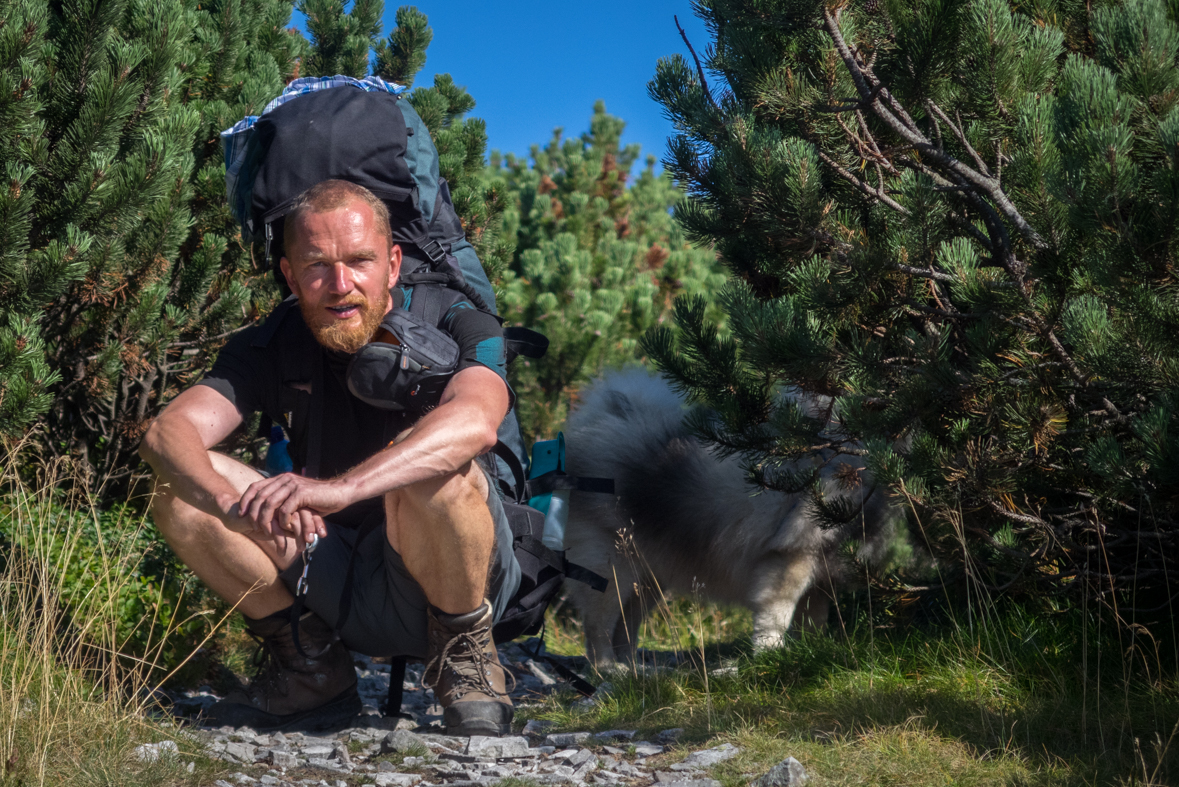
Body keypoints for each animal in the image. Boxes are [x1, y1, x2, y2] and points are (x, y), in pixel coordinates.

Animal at [561, 369, 891, 664]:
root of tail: (600, 421)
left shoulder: (820, 579)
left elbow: (813, 624)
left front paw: (808, 653)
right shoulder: (790, 562)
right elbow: (775, 618)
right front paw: (769, 656)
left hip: (646, 579)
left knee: (625, 628)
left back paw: (634, 671)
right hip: (611, 569)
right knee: (598, 630)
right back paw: (610, 671)